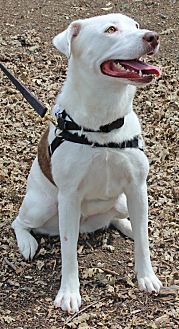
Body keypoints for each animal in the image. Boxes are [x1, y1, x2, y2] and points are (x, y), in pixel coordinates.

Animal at [11, 13, 162, 312]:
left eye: (136, 26)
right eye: (111, 30)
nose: (152, 37)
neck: (104, 124)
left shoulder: (137, 187)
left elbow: (144, 241)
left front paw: (146, 277)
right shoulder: (69, 197)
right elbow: (69, 249)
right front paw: (69, 293)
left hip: (122, 201)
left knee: (121, 218)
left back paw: (127, 225)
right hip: (42, 205)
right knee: (18, 222)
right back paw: (27, 243)